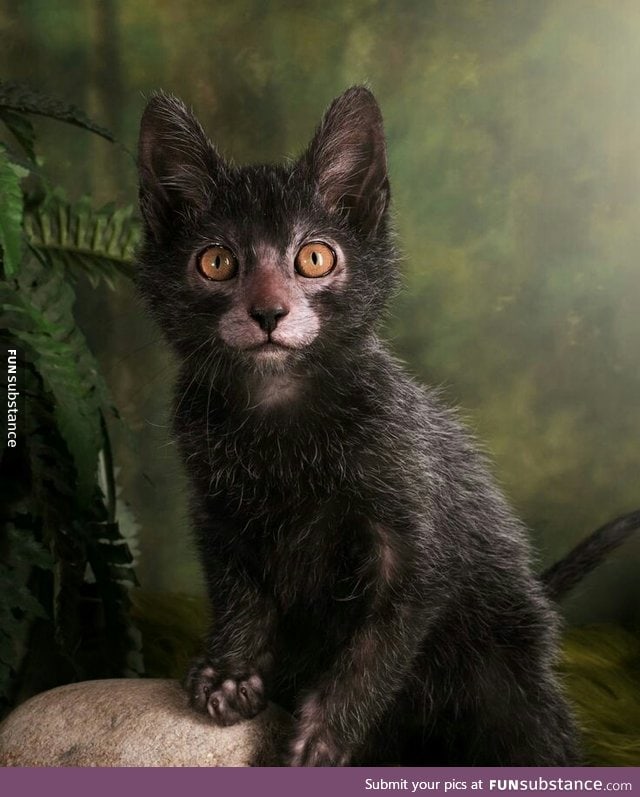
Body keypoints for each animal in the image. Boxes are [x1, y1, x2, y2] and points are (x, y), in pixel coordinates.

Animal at [135, 87, 580, 764]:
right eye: (216, 262)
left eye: (314, 257)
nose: (269, 312)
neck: (280, 415)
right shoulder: (216, 511)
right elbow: (238, 593)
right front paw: (231, 673)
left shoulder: (416, 536)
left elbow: (379, 646)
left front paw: (323, 735)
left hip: (510, 676)